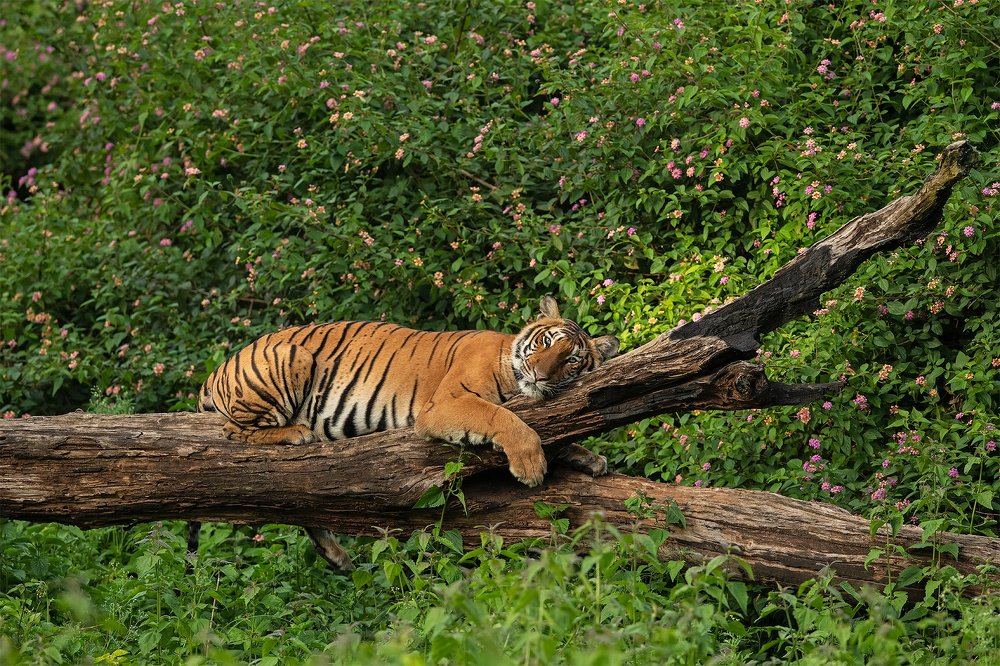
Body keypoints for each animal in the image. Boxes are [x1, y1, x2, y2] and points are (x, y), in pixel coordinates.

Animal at [193, 296, 619, 570]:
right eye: (545, 342)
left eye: (572, 360)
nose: (540, 375)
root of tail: (219, 368)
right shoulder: (447, 402)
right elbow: (503, 419)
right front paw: (530, 466)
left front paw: (590, 459)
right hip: (291, 357)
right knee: (233, 431)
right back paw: (296, 433)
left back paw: (337, 556)